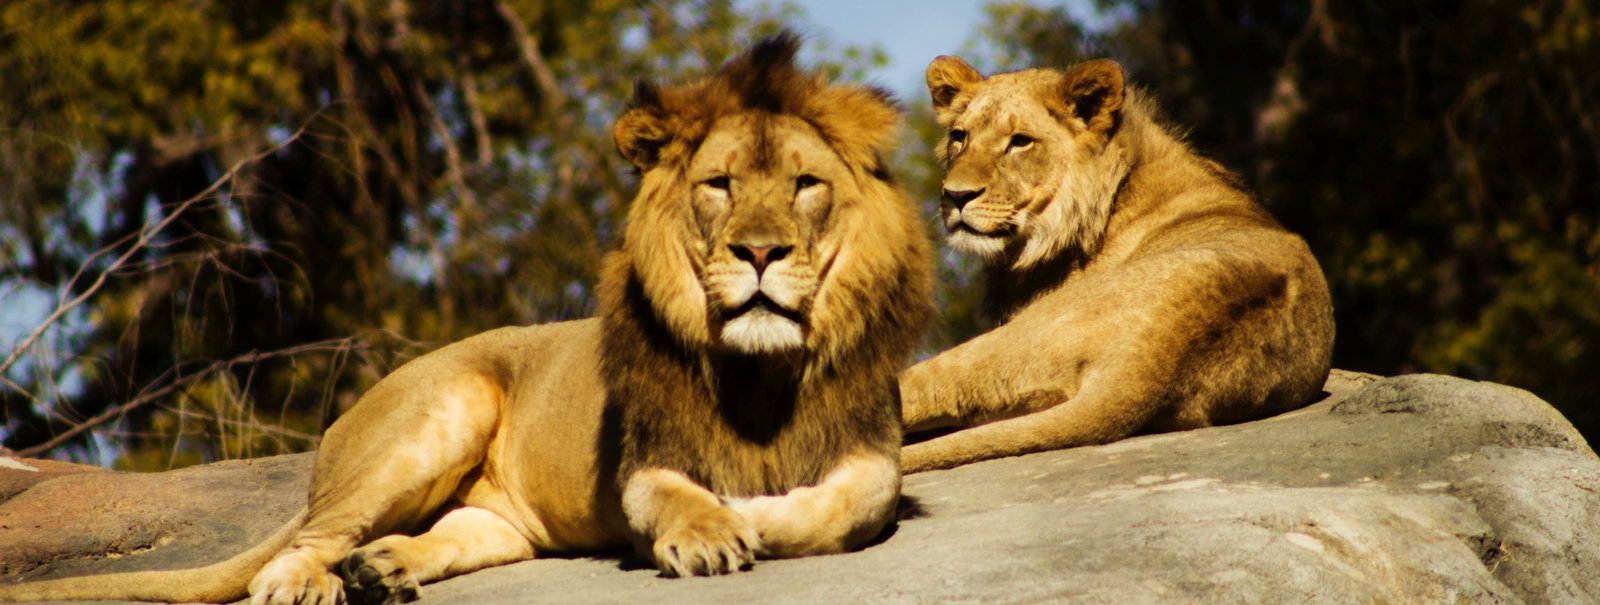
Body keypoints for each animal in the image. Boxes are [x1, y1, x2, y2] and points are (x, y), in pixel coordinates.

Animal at [0, 34, 934, 605]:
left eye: (806, 184)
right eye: (720, 185)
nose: (761, 251)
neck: (763, 368)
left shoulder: (869, 452)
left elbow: (843, 504)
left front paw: (754, 514)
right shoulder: (645, 460)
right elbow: (680, 495)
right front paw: (712, 528)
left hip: (496, 519)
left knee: (443, 533)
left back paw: (379, 568)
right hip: (437, 415)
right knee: (307, 540)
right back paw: (309, 579)